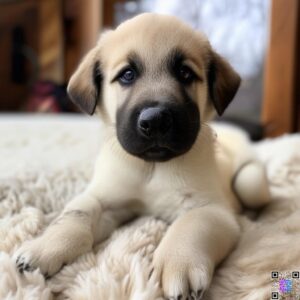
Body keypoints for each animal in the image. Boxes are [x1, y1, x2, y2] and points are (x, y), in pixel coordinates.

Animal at [14, 14, 270, 300]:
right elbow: (76, 214)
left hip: (252, 183)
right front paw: (46, 246)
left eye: (185, 73)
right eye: (127, 75)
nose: (155, 120)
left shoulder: (211, 209)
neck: (152, 167)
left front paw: (178, 262)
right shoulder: (104, 199)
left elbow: (190, 225)